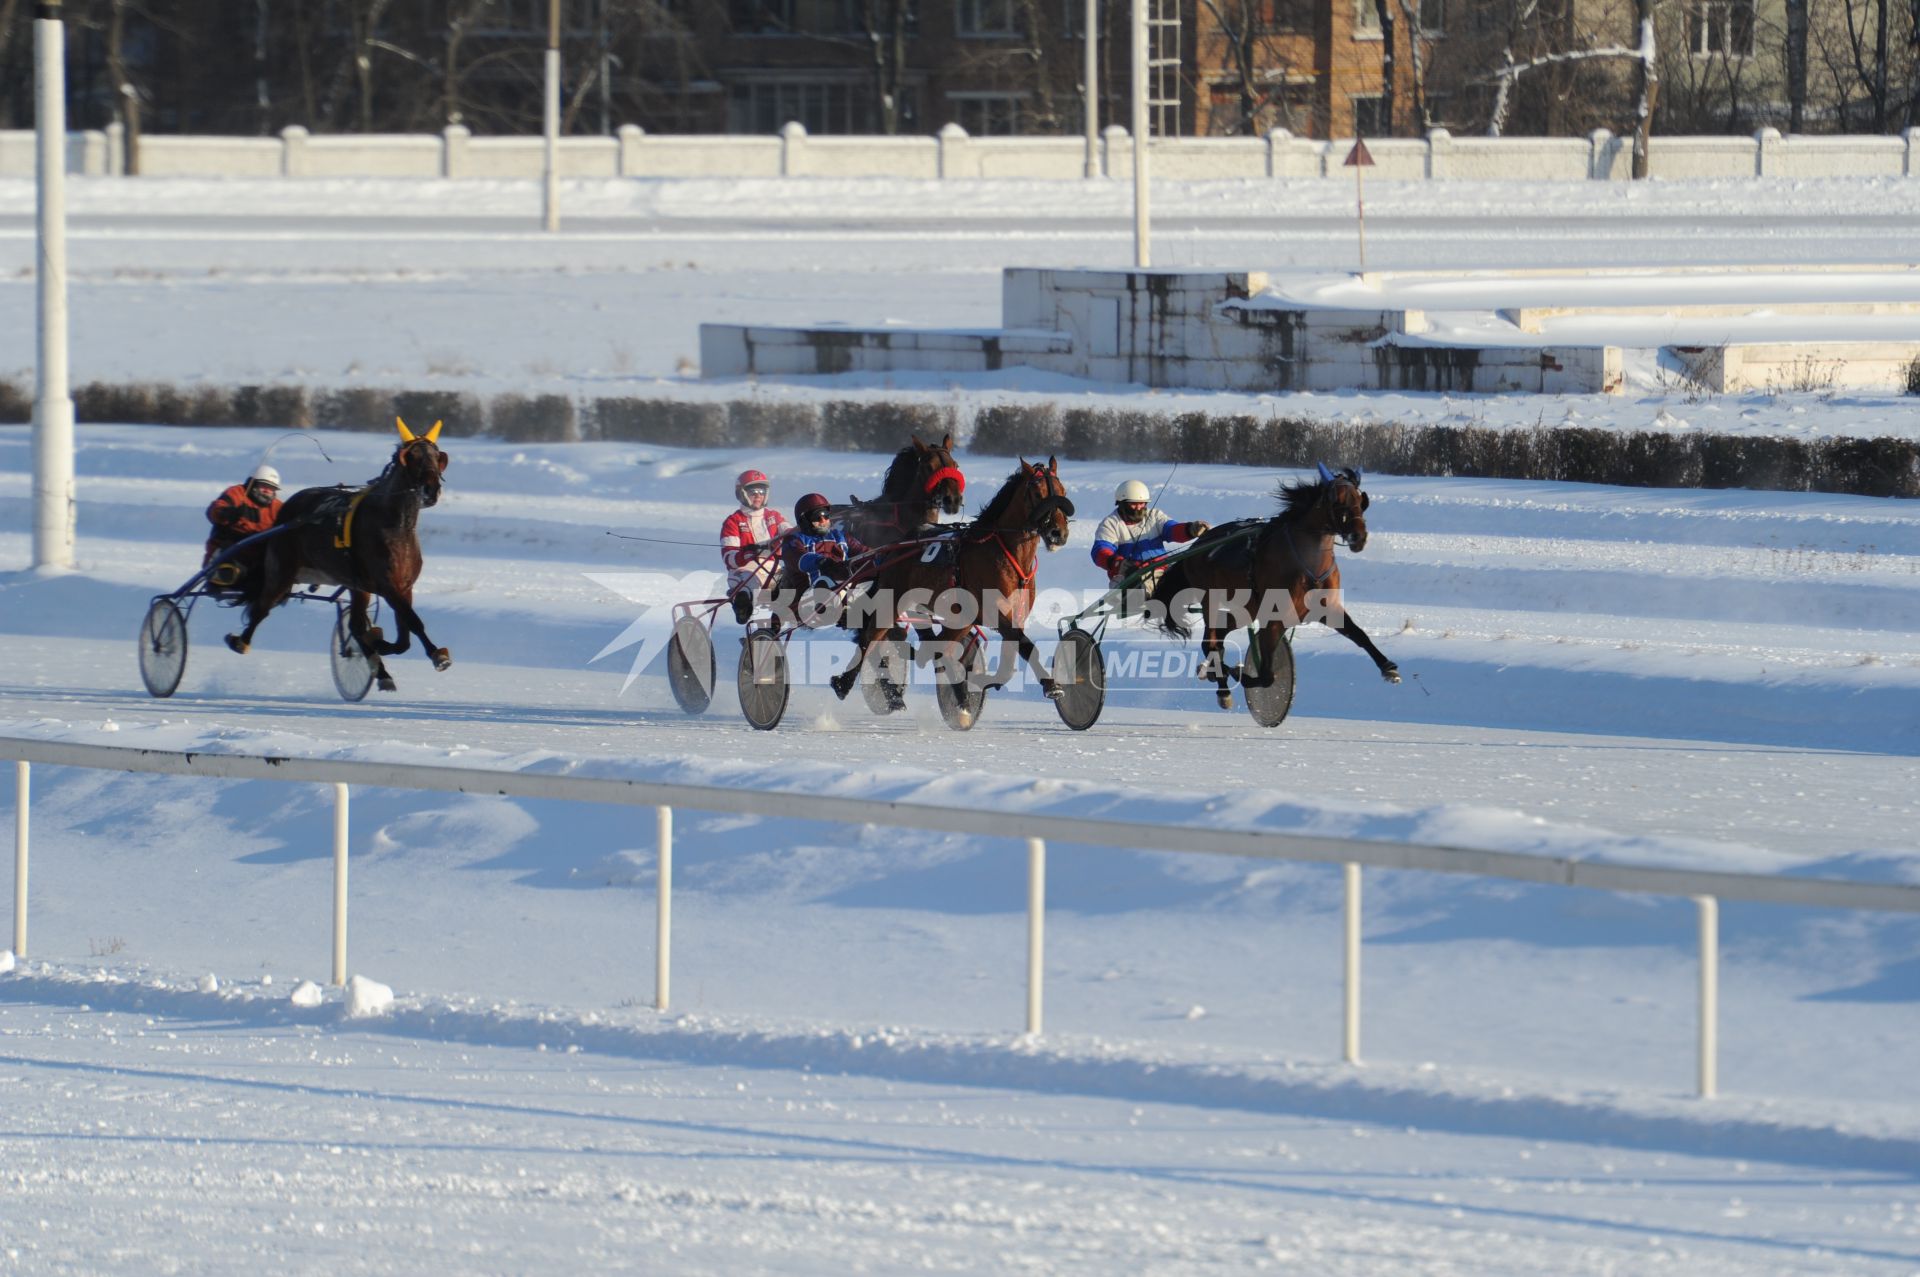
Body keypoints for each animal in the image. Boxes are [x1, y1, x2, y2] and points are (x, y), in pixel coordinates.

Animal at [224, 418, 453, 691]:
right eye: (413, 456)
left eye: (437, 456)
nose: (431, 490)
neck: (395, 525)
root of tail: (288, 509)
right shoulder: (387, 585)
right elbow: (413, 622)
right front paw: (437, 656)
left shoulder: (403, 585)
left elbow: (403, 637)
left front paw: (380, 643)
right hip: (282, 571)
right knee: (262, 607)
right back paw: (240, 641)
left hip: (356, 585)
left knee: (355, 625)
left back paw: (380, 669)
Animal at [821, 455, 1075, 706]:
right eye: (1038, 493)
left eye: (1062, 490)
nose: (1058, 533)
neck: (1005, 551)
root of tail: (897, 547)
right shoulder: (995, 612)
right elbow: (1026, 646)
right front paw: (1051, 685)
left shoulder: (1012, 615)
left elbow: (1010, 658)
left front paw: (982, 682)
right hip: (892, 599)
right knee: (870, 637)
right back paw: (844, 682)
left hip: (959, 618)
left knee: (937, 647)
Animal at [1144, 460, 1405, 706]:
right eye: (1336, 500)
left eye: (1361, 500)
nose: (1358, 537)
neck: (1307, 565)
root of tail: (1198, 545)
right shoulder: (1275, 615)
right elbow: (1266, 675)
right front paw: (1238, 673)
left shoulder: (1327, 608)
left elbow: (1358, 633)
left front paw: (1388, 667)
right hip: (1211, 598)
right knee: (1213, 643)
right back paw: (1221, 684)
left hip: (1245, 609)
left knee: (1217, 637)